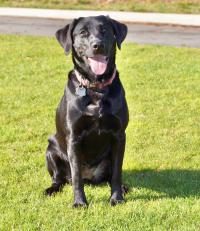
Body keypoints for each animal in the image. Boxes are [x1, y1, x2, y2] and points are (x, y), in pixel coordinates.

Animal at [44, 15, 129, 207]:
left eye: (104, 30)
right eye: (83, 33)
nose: (97, 45)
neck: (96, 88)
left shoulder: (119, 135)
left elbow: (117, 173)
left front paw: (116, 198)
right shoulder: (74, 138)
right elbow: (76, 177)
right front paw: (80, 203)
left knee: (109, 175)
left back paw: (124, 188)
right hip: (51, 149)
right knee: (59, 178)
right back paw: (52, 189)